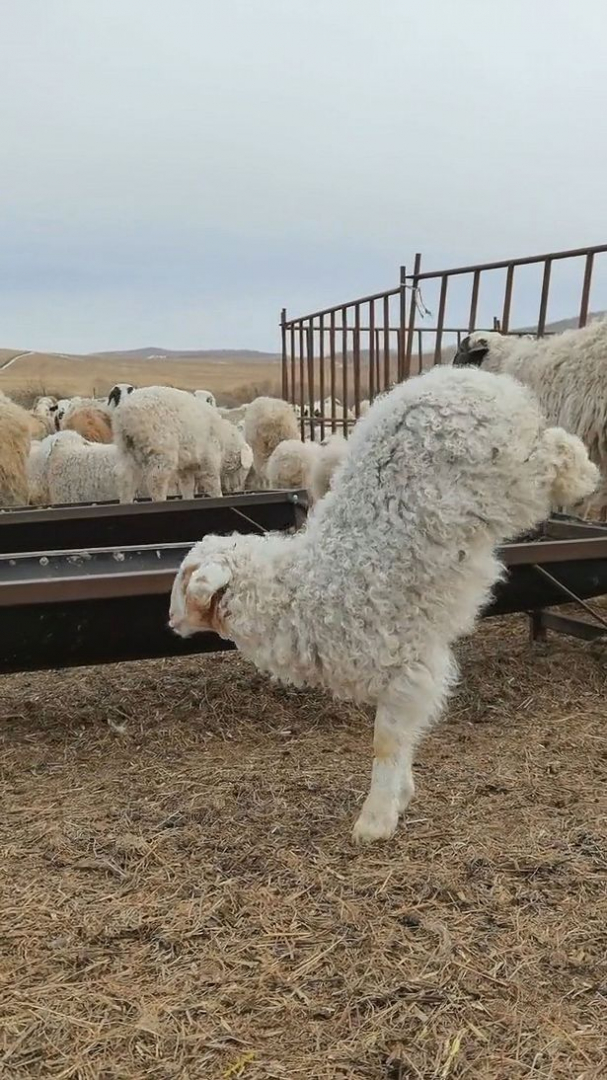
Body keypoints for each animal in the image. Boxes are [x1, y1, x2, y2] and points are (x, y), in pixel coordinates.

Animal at [168, 367, 596, 846]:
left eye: (186, 579)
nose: (170, 620)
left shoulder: (406, 666)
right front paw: (401, 795)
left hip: (515, 473)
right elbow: (402, 739)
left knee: (558, 451)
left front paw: (374, 821)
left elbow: (385, 741)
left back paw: (585, 478)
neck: (302, 589)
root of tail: (465, 375)